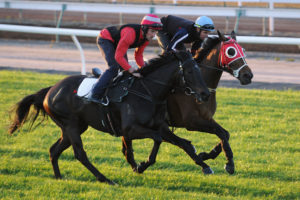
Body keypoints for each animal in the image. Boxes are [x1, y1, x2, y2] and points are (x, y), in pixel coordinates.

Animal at [9, 50, 211, 185]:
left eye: (200, 71)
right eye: (190, 72)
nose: (205, 94)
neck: (147, 92)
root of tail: (50, 90)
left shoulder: (159, 125)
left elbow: (184, 143)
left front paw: (205, 166)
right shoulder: (131, 129)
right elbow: (156, 140)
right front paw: (142, 165)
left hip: (74, 127)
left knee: (54, 150)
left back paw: (59, 177)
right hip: (71, 125)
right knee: (80, 154)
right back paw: (104, 179)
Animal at [121, 30, 253, 174]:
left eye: (243, 50)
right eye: (231, 51)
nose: (248, 75)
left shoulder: (207, 118)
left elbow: (225, 133)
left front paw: (208, 155)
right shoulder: (192, 121)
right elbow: (221, 134)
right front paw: (228, 163)